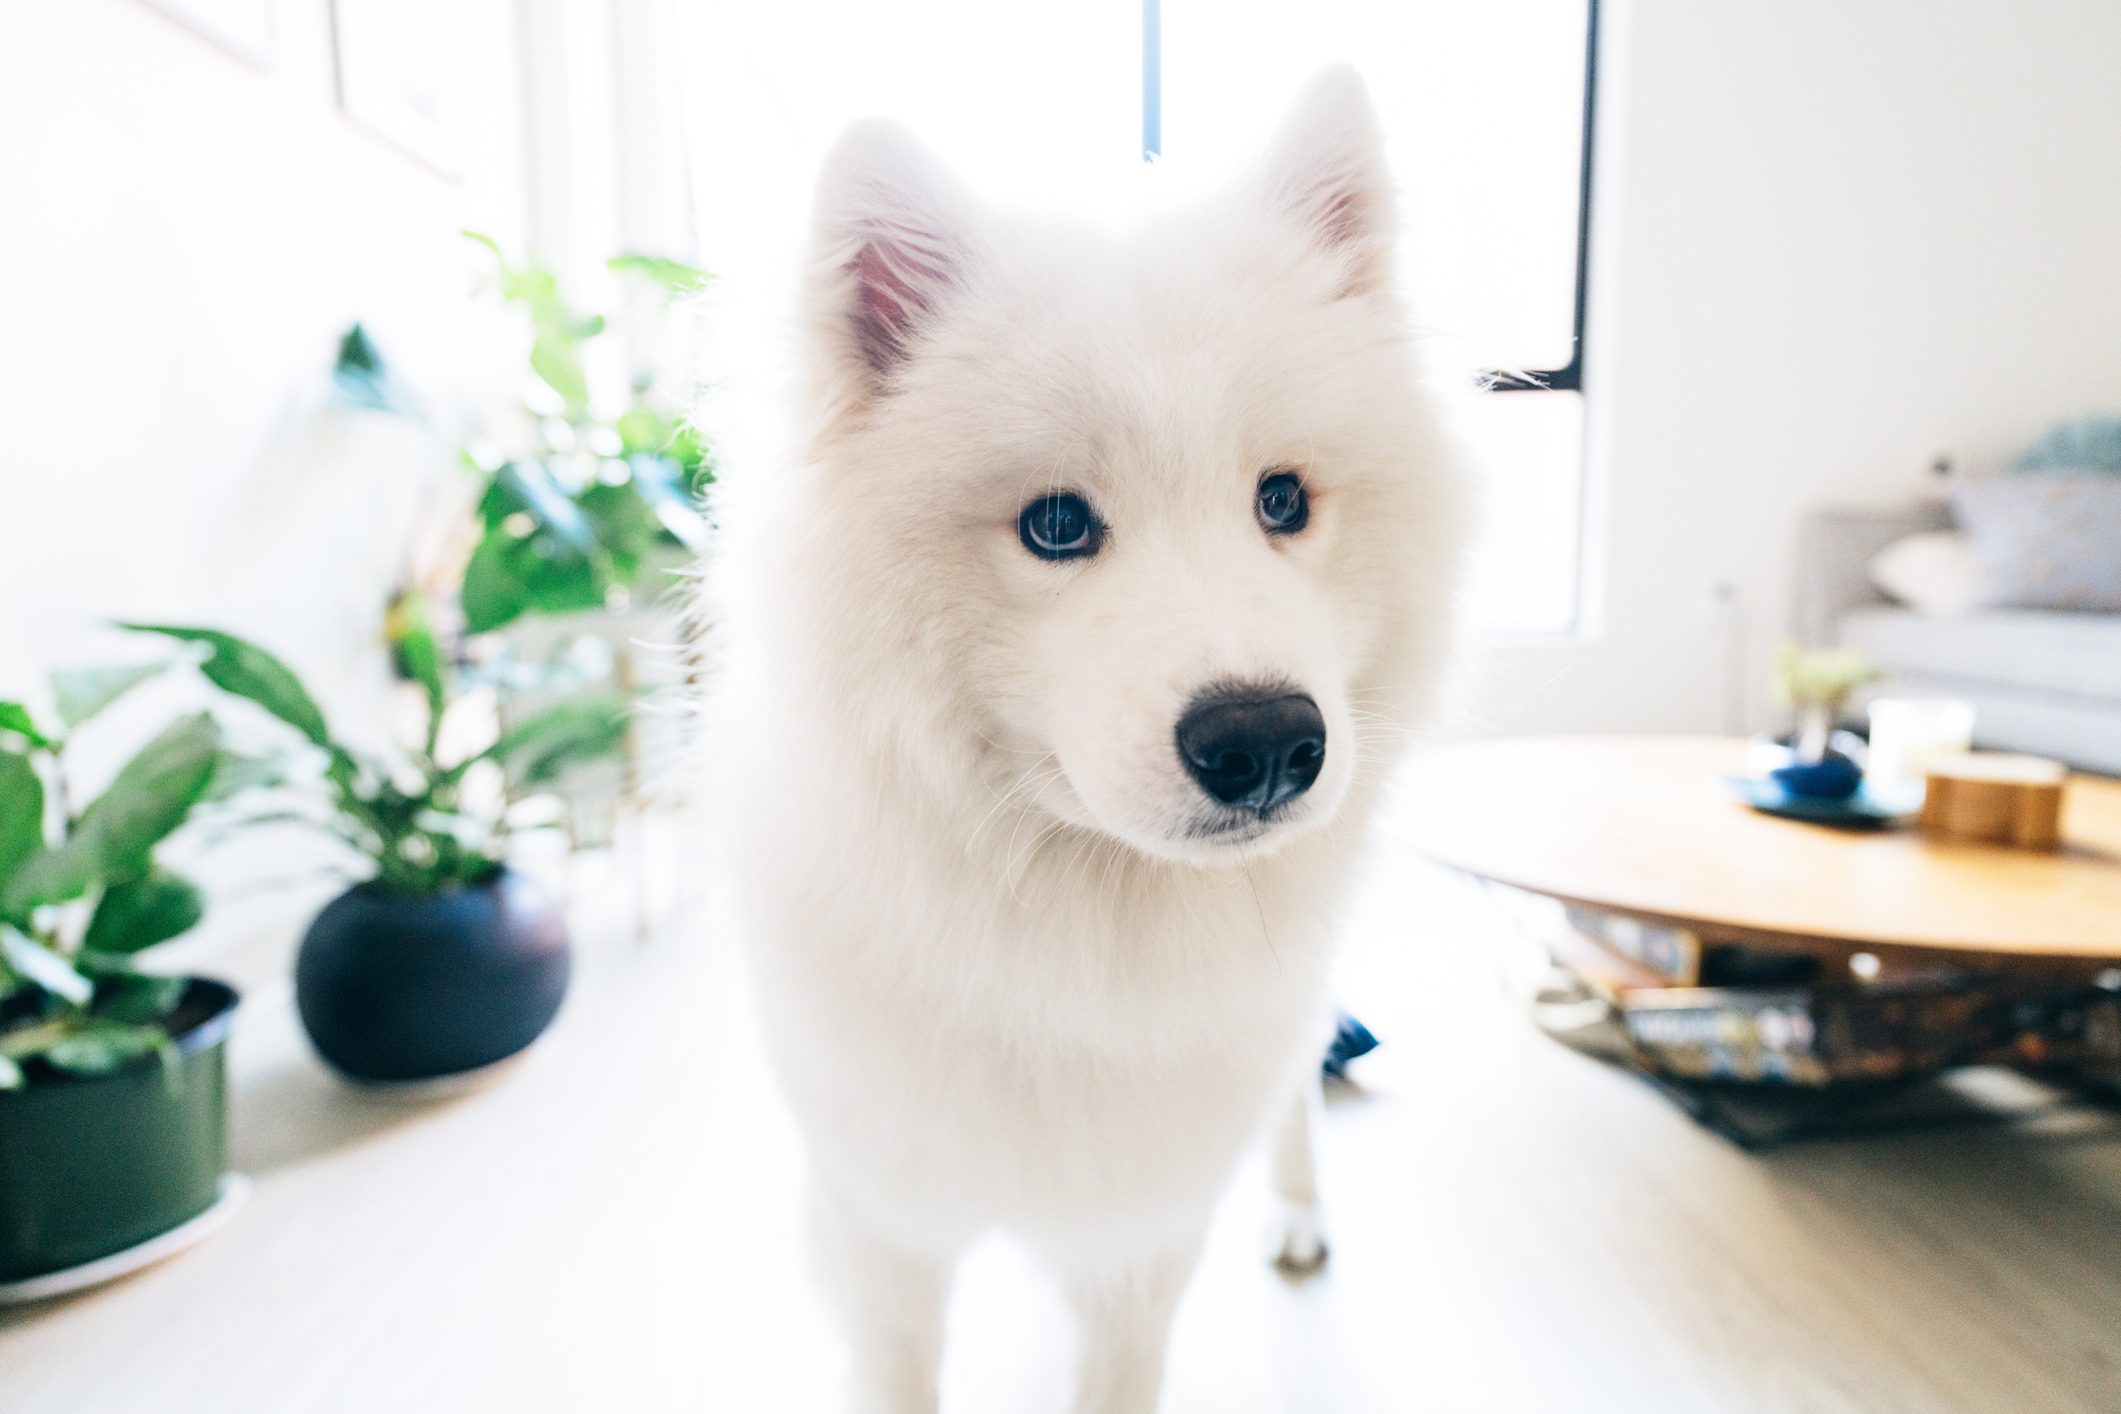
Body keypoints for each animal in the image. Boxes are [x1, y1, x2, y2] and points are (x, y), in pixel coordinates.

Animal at [721, 66, 1467, 1414]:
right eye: (1058, 526)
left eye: (1284, 501)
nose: (1267, 737)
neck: (1077, 948)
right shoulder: (882, 1229)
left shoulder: (1142, 1234)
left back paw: (1299, 1214)